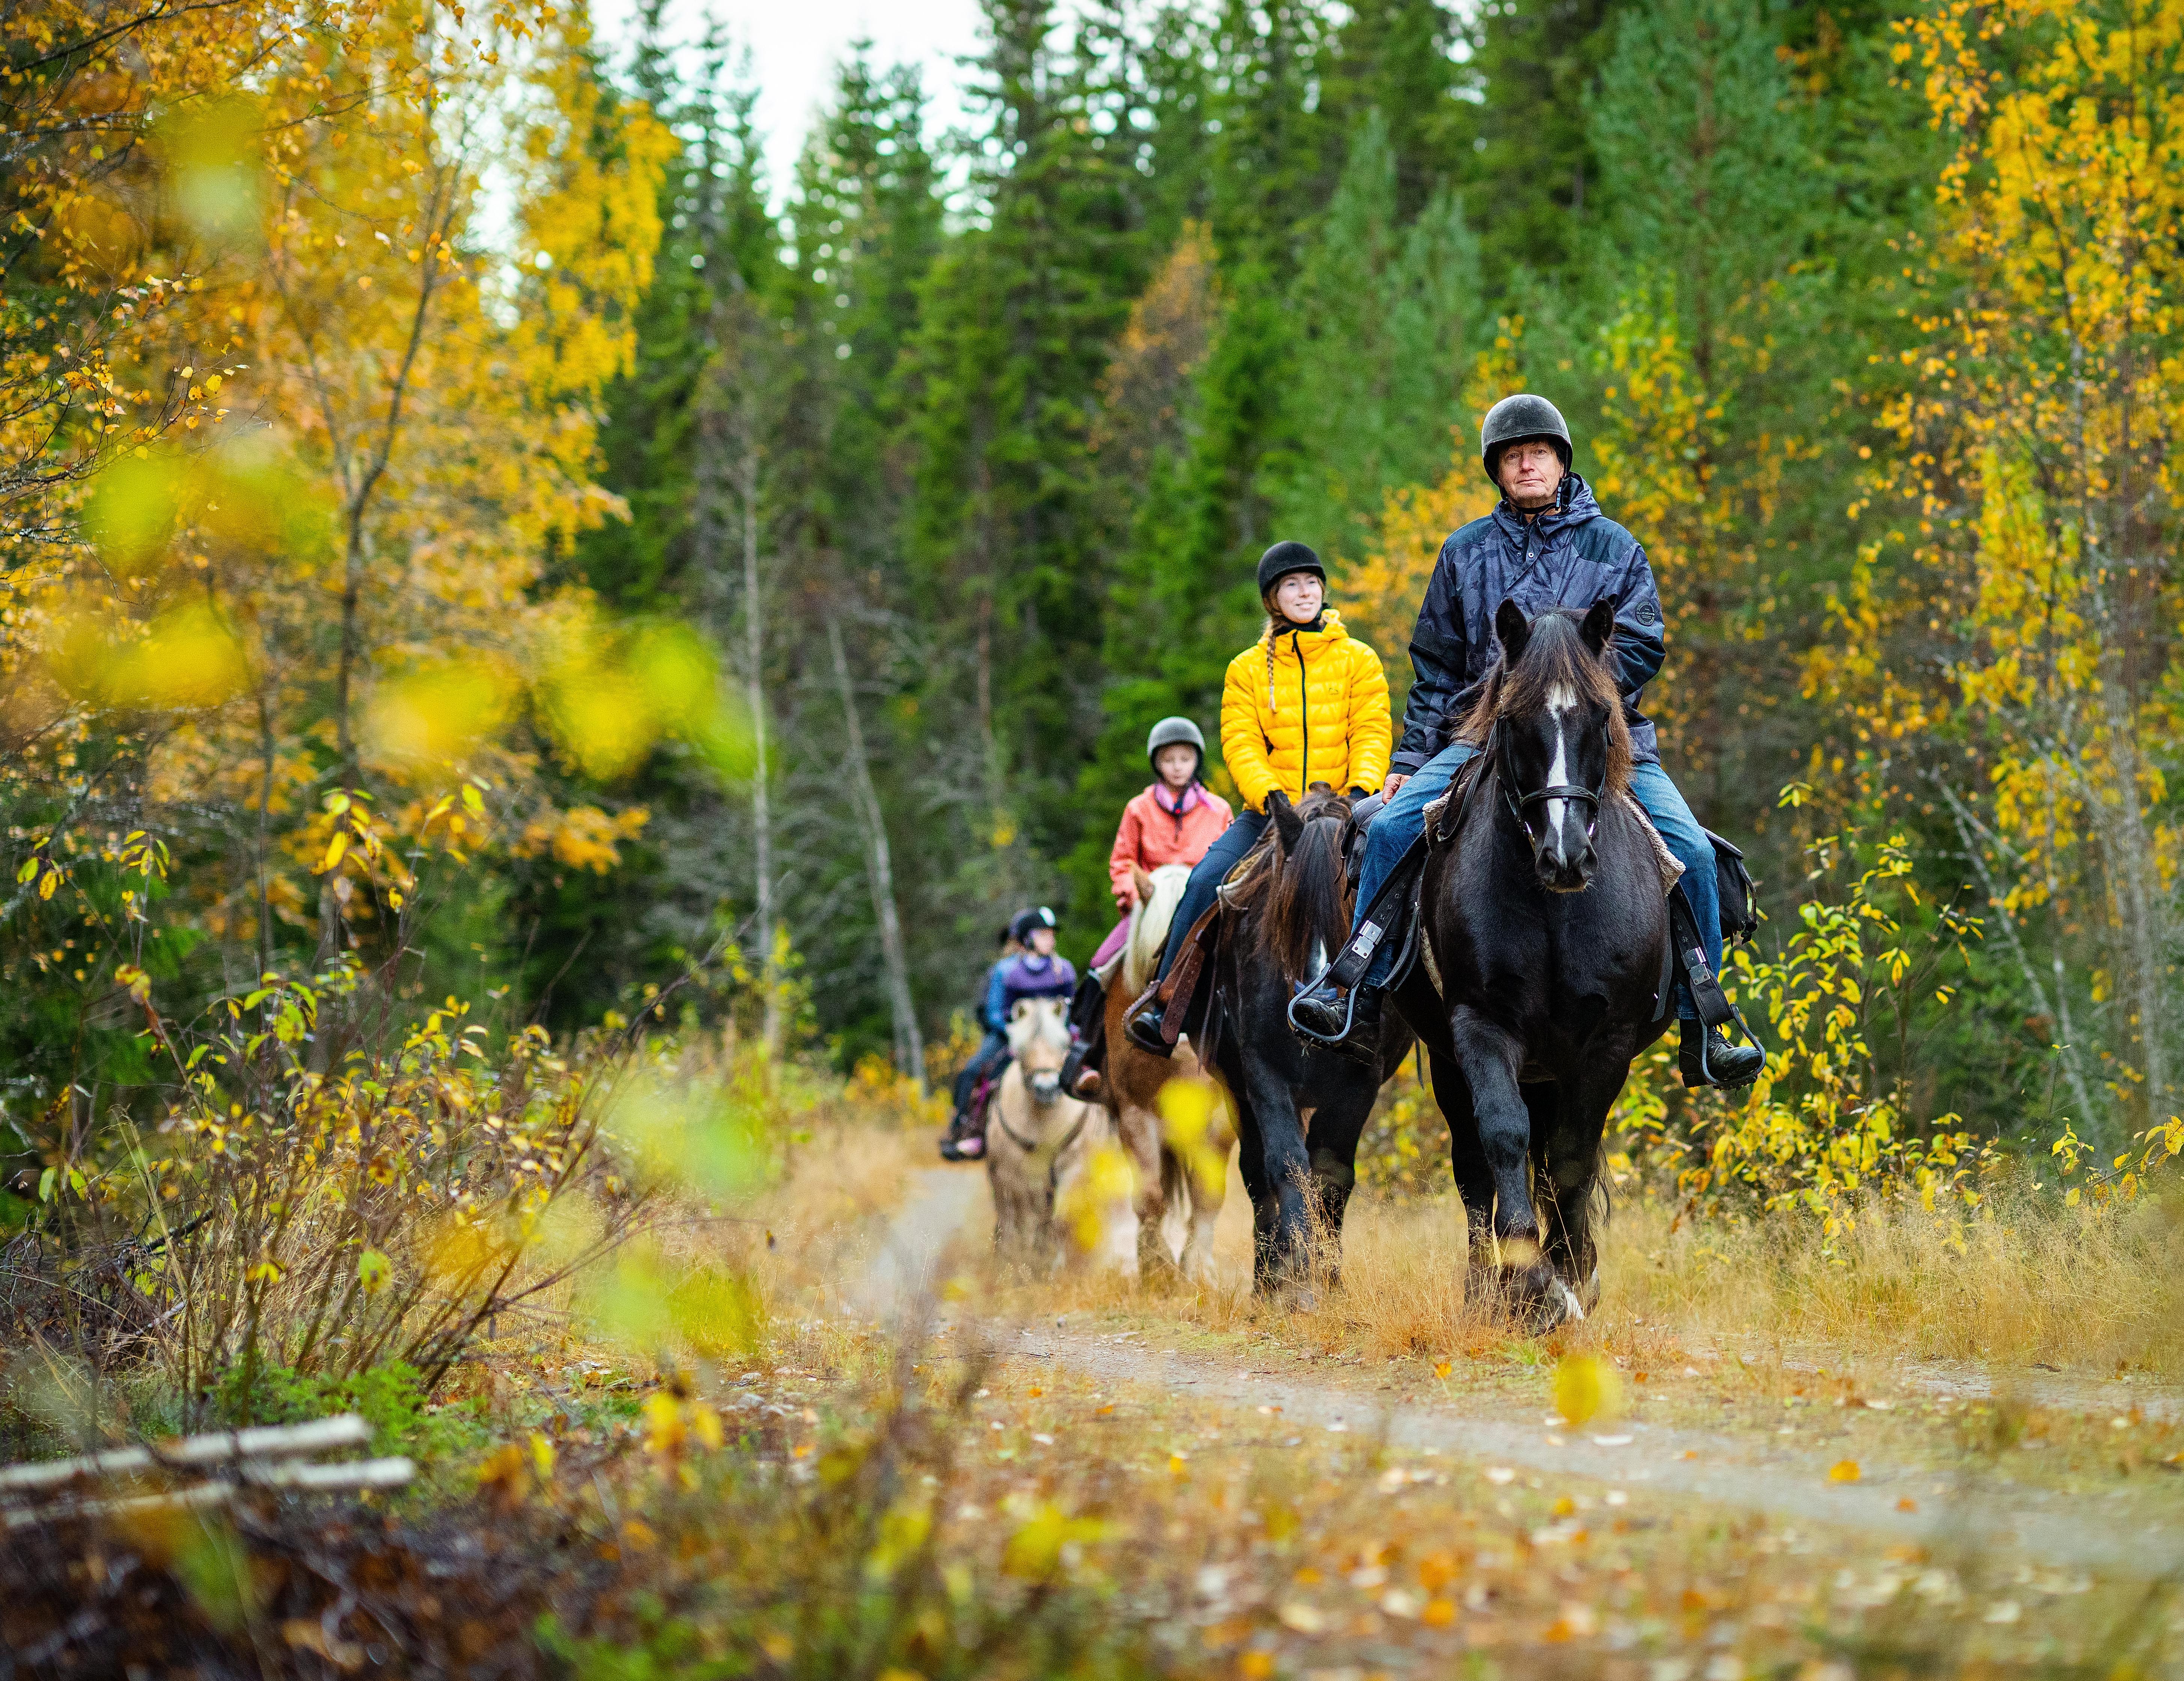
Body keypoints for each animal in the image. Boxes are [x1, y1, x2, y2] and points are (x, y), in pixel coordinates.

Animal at [987, 996, 1137, 1276]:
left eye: (1062, 1044)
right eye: (1021, 1048)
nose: (1046, 1088)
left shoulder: (1072, 1168)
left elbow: (1060, 1222)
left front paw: (1056, 1268)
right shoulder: (1012, 1178)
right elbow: (1019, 1225)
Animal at [1101, 862, 1235, 1284]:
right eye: (1162, 952)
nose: (1181, 1043)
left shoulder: (1218, 1120)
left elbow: (1207, 1195)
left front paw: (1199, 1269)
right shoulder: (1135, 1114)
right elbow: (1150, 1196)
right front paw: (1156, 1268)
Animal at [1212, 788, 1414, 1298]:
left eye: (1352, 901)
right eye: (1288, 908)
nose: (1313, 1007)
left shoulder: (1361, 1082)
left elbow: (1332, 1174)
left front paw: (1326, 1273)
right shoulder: (1263, 1074)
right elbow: (1286, 1165)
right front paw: (1294, 1270)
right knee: (1255, 1173)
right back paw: (1266, 1277)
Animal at [1400, 597, 1671, 1330]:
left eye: (1600, 717)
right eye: (1512, 720)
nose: (1565, 855)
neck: (1553, 911)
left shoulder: (1605, 1043)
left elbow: (1572, 1158)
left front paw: (1573, 1273)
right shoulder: (1480, 1026)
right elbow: (1502, 1137)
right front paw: (1529, 1279)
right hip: (1452, 1062)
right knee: (1474, 1168)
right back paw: (1483, 1288)